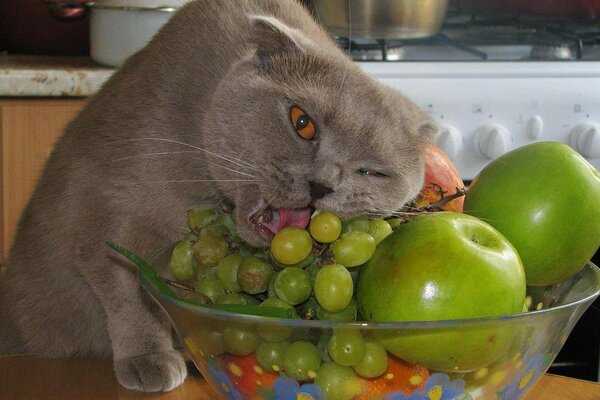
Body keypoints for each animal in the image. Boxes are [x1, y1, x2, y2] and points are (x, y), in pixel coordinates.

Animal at [0, 0, 434, 392]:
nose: (322, 184)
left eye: (372, 172)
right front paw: (148, 358)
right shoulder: (103, 208)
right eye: (303, 123)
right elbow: (127, 289)